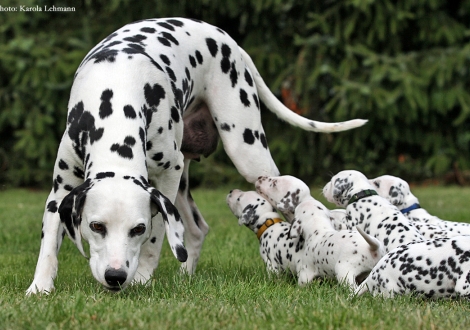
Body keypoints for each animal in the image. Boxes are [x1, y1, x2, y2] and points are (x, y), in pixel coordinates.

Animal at [26, 17, 368, 294]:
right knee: (196, 229)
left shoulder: (165, 180)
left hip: (247, 155)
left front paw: (143, 277)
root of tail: (226, 38)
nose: (116, 276)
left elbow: (157, 235)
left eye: (137, 229)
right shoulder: (61, 189)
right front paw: (39, 287)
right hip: (184, 185)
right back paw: (185, 276)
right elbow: (49, 244)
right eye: (96, 226)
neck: (116, 96)